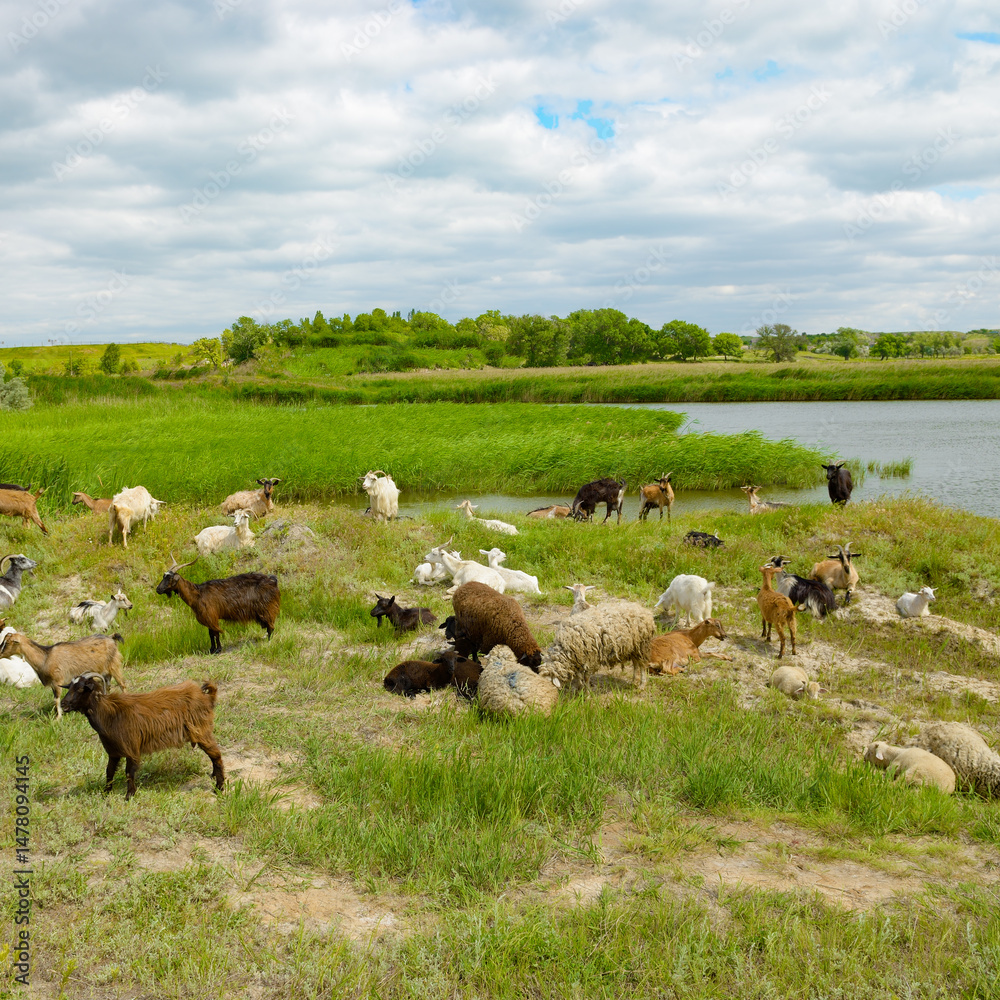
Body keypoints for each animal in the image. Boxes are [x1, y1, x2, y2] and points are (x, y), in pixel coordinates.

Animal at [60, 672, 224, 800]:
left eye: (81, 688)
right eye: (69, 687)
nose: (63, 704)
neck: (110, 715)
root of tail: (206, 697)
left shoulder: (131, 748)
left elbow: (129, 772)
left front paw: (129, 795)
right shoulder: (113, 751)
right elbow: (109, 772)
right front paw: (106, 793)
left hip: (200, 730)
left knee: (216, 755)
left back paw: (219, 787)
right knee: (213, 755)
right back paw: (214, 777)